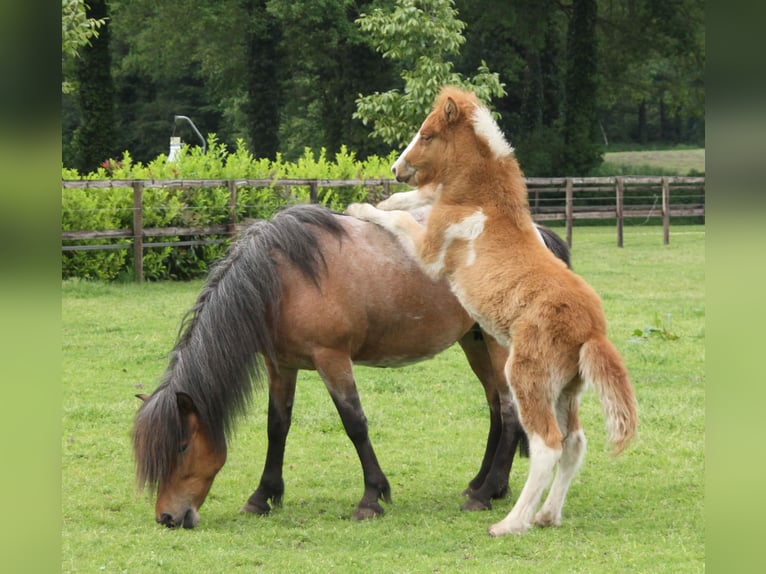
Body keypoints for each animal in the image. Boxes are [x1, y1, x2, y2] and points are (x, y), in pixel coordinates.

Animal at [135, 202, 572, 532]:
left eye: (181, 446)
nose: (167, 517)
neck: (280, 279)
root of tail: (535, 232)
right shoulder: (281, 366)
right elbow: (277, 426)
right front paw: (263, 497)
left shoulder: (332, 359)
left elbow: (354, 423)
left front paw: (371, 498)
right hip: (475, 340)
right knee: (495, 409)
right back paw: (484, 485)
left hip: (498, 345)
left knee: (511, 413)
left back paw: (484, 494)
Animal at [344, 86, 640, 540]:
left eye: (427, 135)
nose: (397, 169)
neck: (482, 202)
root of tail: (591, 331)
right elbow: (422, 198)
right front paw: (390, 197)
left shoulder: (430, 252)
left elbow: (402, 220)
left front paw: (363, 208)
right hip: (566, 389)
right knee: (574, 443)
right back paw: (547, 515)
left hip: (527, 377)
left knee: (547, 445)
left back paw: (510, 522)